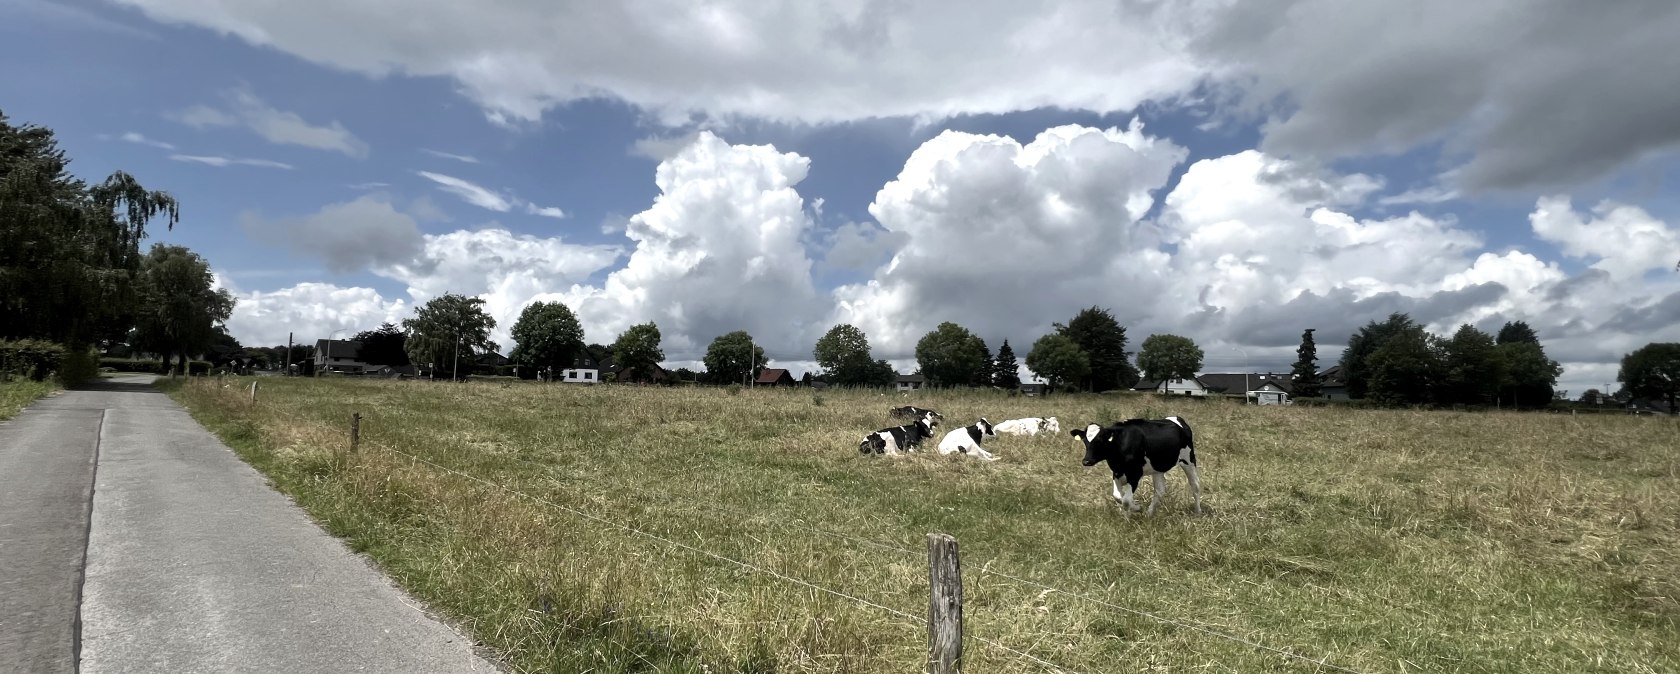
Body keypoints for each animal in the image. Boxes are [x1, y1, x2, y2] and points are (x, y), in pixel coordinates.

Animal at [1068, 411, 1202, 510]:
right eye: (1085, 441)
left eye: (1100, 440)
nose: (1086, 461)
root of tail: (1177, 419)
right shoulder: (1116, 472)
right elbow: (1118, 496)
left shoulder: (1135, 474)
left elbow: (1126, 500)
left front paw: (1137, 508)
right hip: (1157, 468)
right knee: (1160, 491)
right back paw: (1149, 514)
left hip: (1188, 459)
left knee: (1195, 485)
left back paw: (1197, 512)